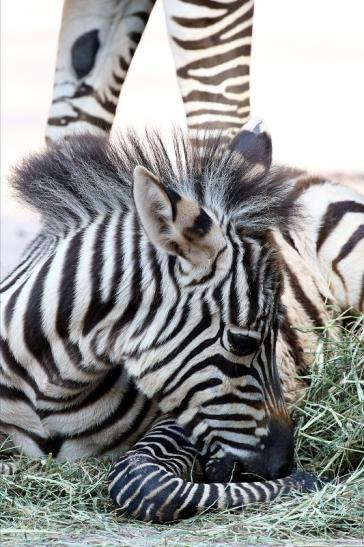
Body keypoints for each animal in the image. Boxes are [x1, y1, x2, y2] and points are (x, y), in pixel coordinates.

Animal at [0, 123, 364, 524]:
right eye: (243, 342)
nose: (284, 465)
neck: (47, 388)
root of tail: (293, 172)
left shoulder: (178, 420)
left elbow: (141, 480)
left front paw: (306, 481)